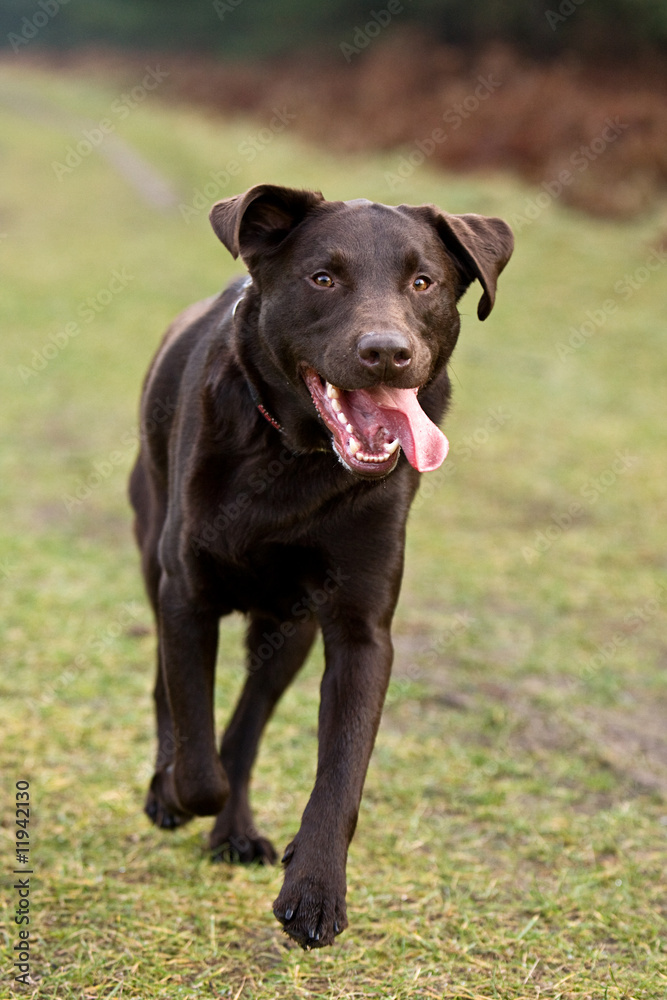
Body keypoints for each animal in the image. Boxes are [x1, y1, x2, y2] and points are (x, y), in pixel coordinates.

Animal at [129, 186, 512, 944]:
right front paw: (176, 791)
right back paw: (170, 792)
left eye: (422, 283)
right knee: (175, 702)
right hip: (152, 543)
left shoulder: (360, 630)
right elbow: (196, 749)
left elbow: (340, 768)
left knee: (246, 726)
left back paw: (234, 830)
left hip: (290, 633)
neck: (297, 457)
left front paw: (313, 885)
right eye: (323, 278)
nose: (387, 352)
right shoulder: (186, 592)